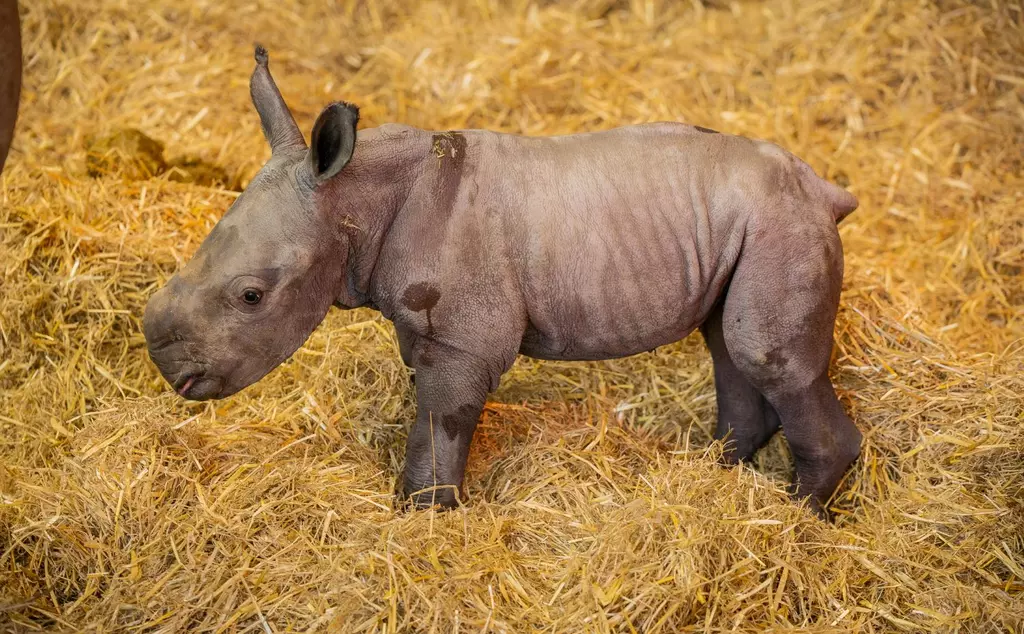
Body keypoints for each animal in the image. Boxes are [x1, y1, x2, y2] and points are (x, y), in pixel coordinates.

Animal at [146, 48, 864, 516]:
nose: (168, 370)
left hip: (780, 223)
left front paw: (425, 516)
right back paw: (717, 481)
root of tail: (822, 188)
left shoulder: (465, 339)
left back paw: (793, 521)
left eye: (251, 296)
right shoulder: (424, 326)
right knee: (729, 346)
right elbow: (431, 410)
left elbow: (443, 418)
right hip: (751, 223)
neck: (351, 197)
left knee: (765, 356)